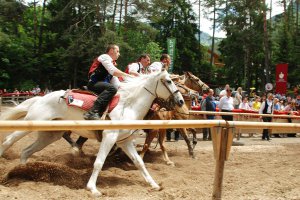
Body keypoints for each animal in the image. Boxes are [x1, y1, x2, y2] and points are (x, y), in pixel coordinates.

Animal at [0, 69, 184, 196]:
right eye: (169, 81)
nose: (181, 101)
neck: (128, 105)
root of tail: (41, 98)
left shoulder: (124, 141)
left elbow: (139, 162)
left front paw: (154, 184)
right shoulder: (109, 137)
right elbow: (99, 162)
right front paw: (93, 189)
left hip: (50, 135)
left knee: (26, 151)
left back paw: (23, 172)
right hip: (31, 123)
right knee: (8, 141)